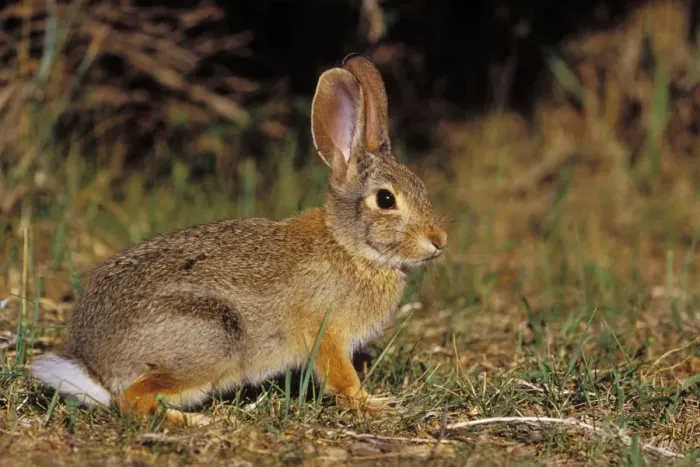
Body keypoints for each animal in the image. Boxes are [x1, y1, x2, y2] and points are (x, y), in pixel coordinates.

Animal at [29, 53, 447, 426]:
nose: (438, 241)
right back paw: (193, 422)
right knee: (132, 400)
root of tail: (96, 366)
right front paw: (372, 403)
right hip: (213, 340)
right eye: (386, 200)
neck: (351, 247)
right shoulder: (325, 330)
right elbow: (342, 377)